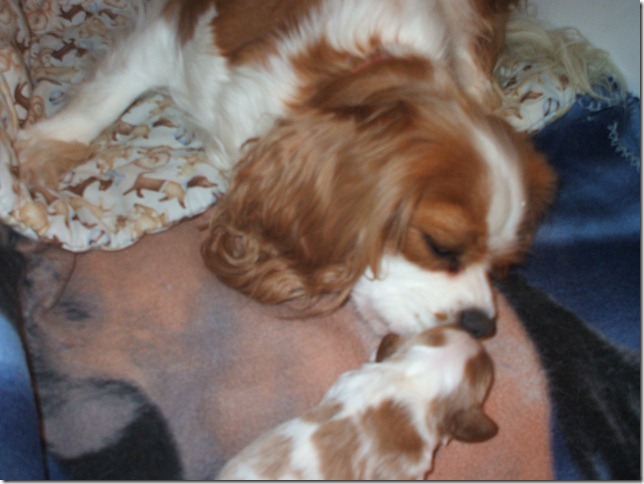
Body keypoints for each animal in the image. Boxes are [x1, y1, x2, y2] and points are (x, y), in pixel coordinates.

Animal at [17, 0, 556, 338]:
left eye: (504, 269)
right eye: (440, 247)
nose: (483, 326)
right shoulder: (174, 36)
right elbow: (108, 95)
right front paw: (43, 144)